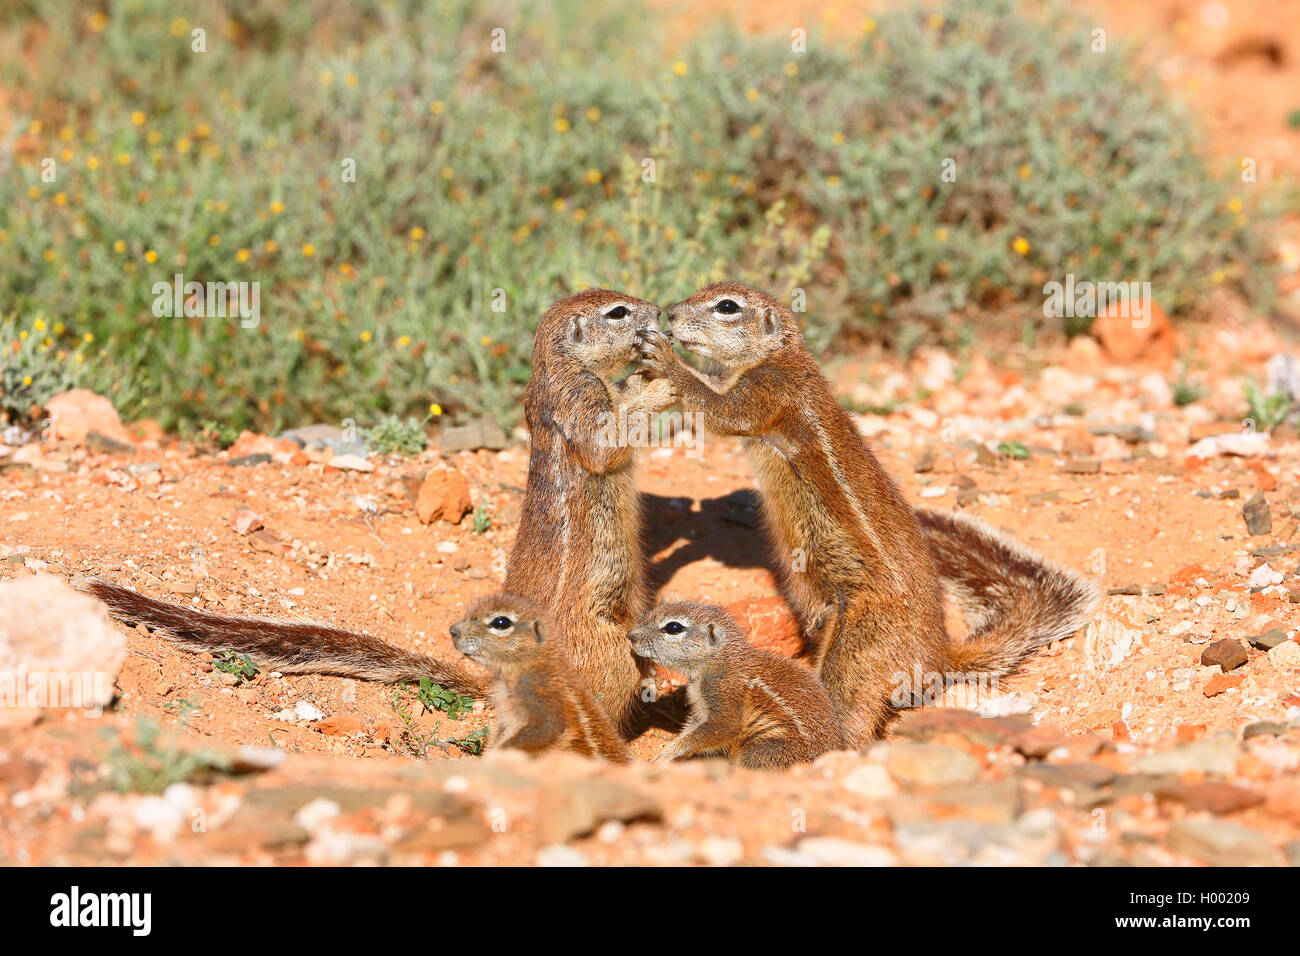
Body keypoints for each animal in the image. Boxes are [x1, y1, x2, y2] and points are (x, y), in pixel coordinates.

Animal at [501, 287, 676, 728]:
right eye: (617, 312)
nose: (659, 311)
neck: (559, 365)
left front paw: (646, 370)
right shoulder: (580, 395)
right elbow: (603, 444)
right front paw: (662, 385)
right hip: (610, 652)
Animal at [626, 606, 842, 770]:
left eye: (673, 627)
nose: (630, 635)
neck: (720, 660)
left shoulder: (723, 693)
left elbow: (718, 729)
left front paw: (666, 754)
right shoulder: (700, 712)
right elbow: (690, 730)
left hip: (762, 750)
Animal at [637, 283, 1097, 749]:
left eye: (727, 306)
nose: (670, 314)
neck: (782, 356)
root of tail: (938, 655)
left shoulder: (768, 390)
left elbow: (721, 410)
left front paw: (667, 361)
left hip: (858, 650)